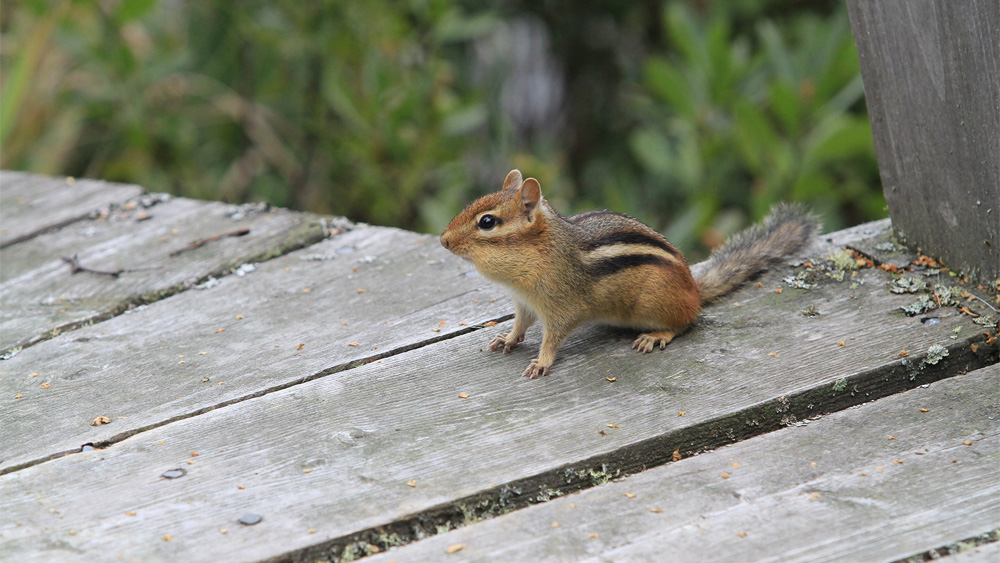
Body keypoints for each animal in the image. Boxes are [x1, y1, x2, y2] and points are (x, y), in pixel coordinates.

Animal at [440, 169, 819, 379]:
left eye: (487, 222)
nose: (443, 240)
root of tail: (694, 288)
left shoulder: (562, 306)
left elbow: (553, 336)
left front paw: (542, 361)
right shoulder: (524, 303)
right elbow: (520, 324)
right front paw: (507, 338)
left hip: (657, 301)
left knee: (687, 321)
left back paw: (656, 335)